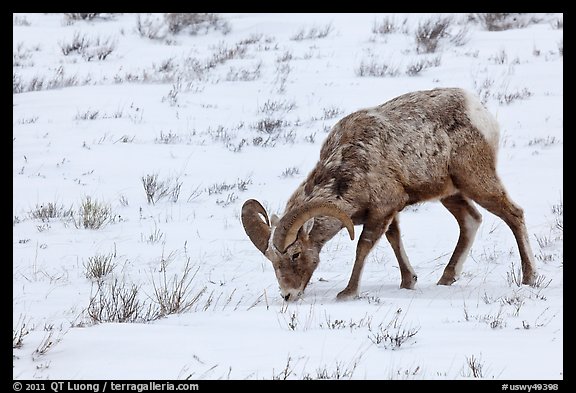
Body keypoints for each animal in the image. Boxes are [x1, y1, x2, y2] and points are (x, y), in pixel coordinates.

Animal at [241, 86, 536, 300]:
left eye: (295, 255)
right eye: (271, 259)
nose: (288, 295)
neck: (349, 164)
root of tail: (480, 111)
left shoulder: (383, 209)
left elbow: (363, 246)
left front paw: (348, 293)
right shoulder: (387, 212)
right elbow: (394, 239)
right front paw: (408, 282)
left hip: (477, 181)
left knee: (514, 214)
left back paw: (529, 278)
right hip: (450, 193)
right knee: (470, 221)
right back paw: (446, 278)